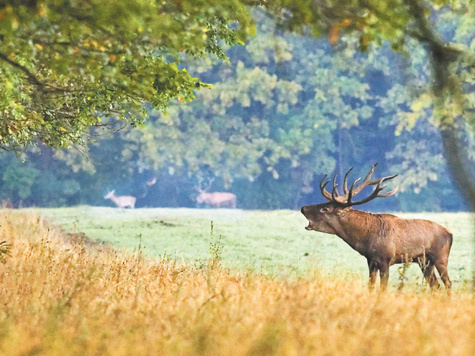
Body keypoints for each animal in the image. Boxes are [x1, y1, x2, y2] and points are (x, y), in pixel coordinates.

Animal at [302, 163, 454, 290]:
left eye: (325, 209)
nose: (303, 208)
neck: (365, 239)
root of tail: (450, 234)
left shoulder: (385, 260)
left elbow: (383, 289)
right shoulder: (371, 261)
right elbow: (370, 286)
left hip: (440, 258)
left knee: (447, 283)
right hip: (424, 262)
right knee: (435, 285)